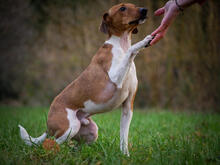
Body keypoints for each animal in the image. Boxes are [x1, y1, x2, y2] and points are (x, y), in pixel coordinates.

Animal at [18, 3, 153, 155]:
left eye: (134, 5)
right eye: (122, 8)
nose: (144, 10)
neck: (121, 45)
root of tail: (48, 125)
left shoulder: (127, 107)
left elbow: (123, 138)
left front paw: (125, 156)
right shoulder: (115, 78)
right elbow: (132, 50)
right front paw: (144, 41)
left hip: (91, 131)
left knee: (73, 146)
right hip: (70, 128)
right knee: (50, 144)